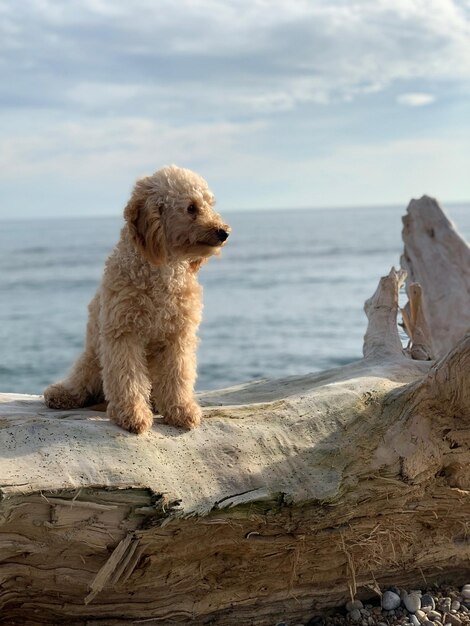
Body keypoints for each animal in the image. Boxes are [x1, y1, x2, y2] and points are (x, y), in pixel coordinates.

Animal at [43, 163, 230, 432]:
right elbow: (127, 377)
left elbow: (178, 375)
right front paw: (132, 415)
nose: (224, 232)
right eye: (191, 208)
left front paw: (180, 410)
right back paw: (62, 394)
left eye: (210, 205)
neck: (161, 269)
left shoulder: (178, 337)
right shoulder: (123, 334)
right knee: (83, 382)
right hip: (93, 358)